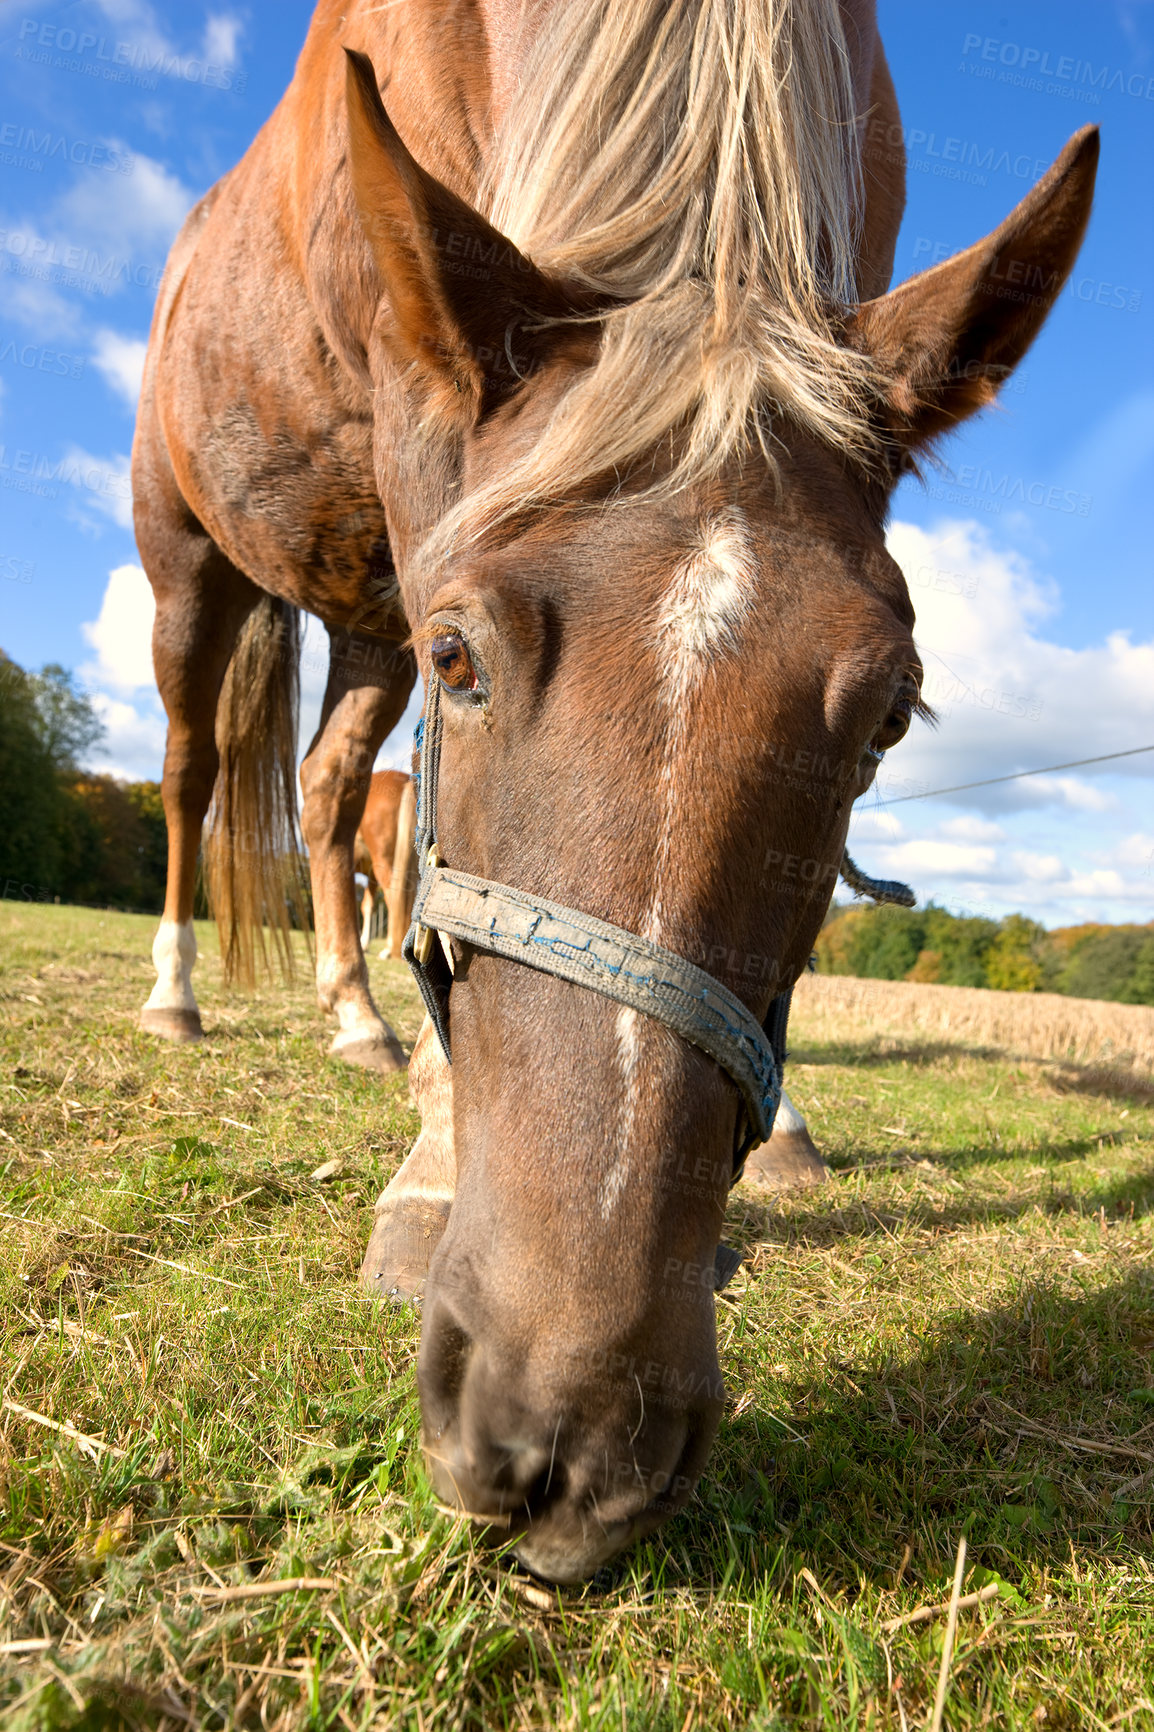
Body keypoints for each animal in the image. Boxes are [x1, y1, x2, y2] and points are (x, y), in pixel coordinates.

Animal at [135, 0, 1088, 1586]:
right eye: (463, 654)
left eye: (889, 717)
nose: (564, 1436)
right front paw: (428, 1175)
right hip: (190, 558)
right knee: (192, 774)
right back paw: (178, 993)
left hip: (354, 615)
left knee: (326, 793)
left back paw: (352, 1017)